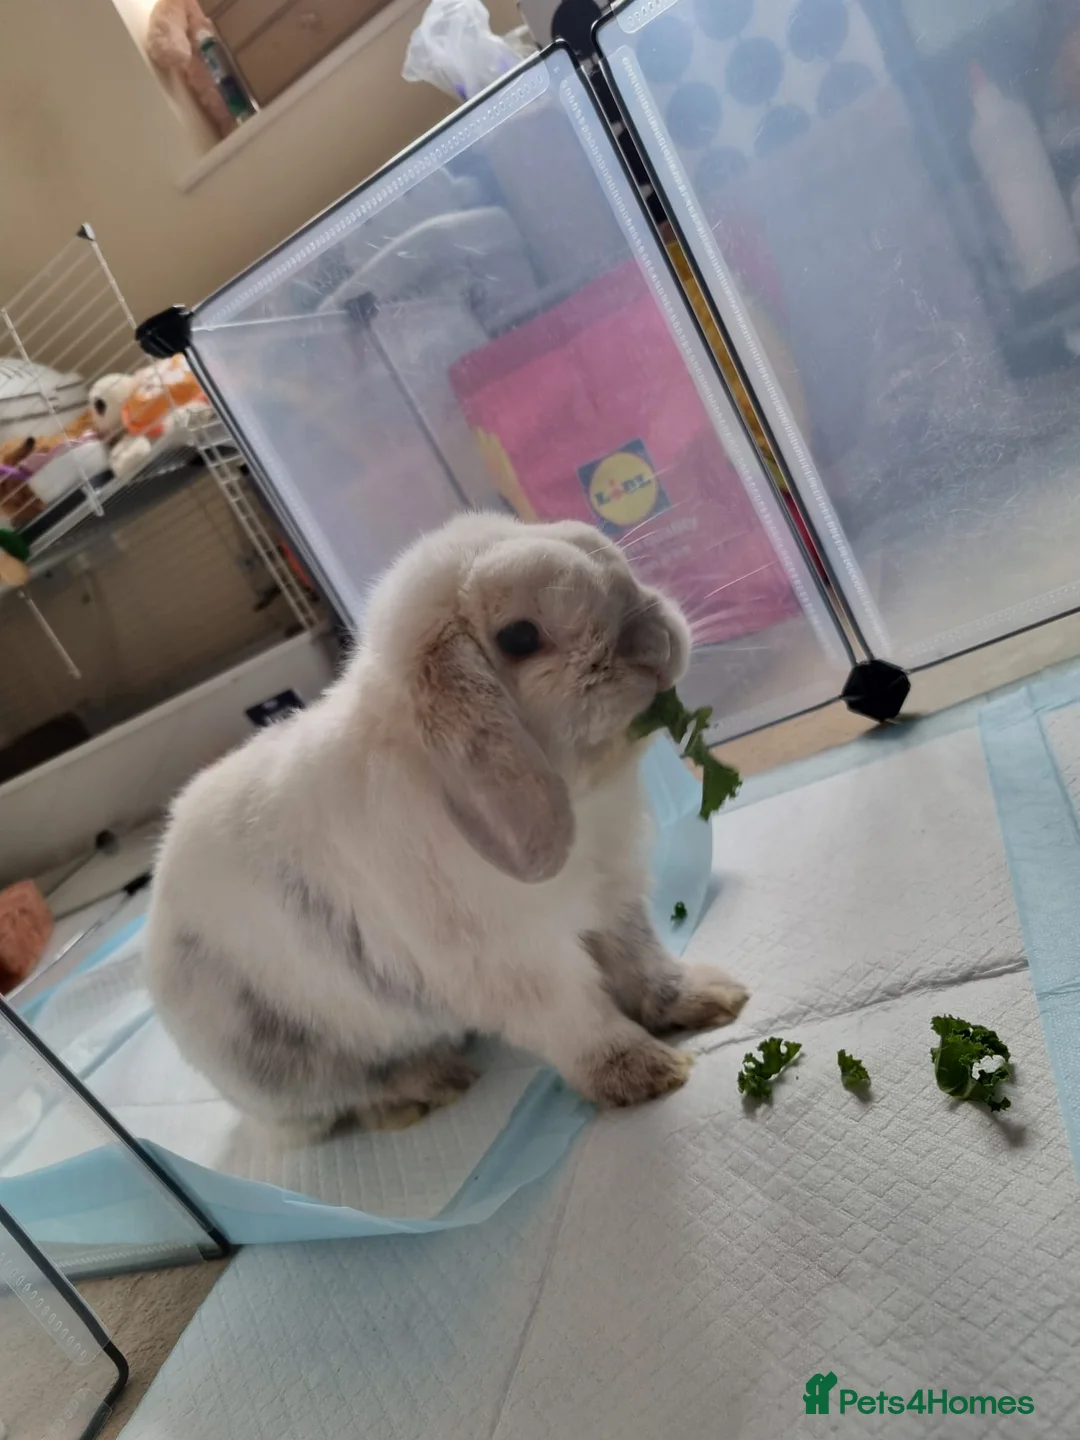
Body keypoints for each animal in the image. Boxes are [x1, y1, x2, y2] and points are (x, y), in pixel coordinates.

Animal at [144, 512, 748, 1138]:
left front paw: (713, 998)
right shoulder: (518, 964)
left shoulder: (615, 900)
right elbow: (579, 1021)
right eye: (519, 637)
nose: (655, 642)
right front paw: (648, 1073)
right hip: (291, 1064)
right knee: (347, 1100)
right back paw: (432, 1086)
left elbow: (645, 963)